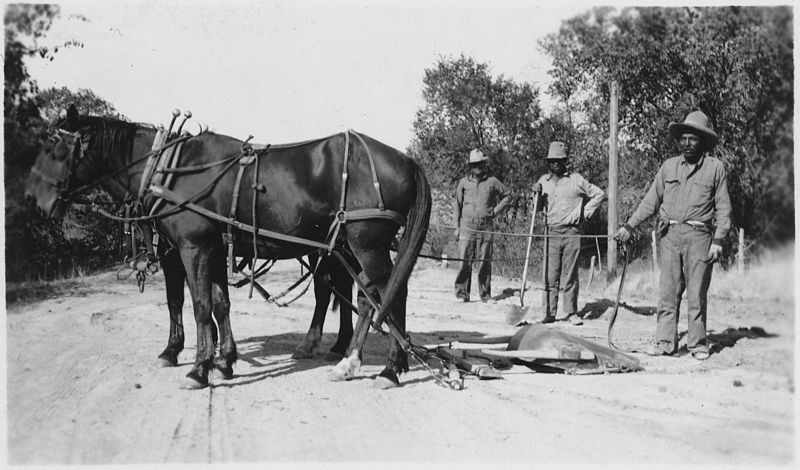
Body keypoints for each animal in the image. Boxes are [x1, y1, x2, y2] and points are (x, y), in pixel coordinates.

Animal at [26, 106, 432, 390]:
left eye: (55, 148)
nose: (33, 200)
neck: (168, 170)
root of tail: (406, 159)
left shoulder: (191, 248)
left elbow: (196, 305)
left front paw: (196, 367)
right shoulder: (214, 248)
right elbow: (220, 304)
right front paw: (224, 361)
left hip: (367, 244)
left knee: (389, 295)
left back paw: (390, 369)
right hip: (348, 247)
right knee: (365, 298)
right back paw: (350, 362)